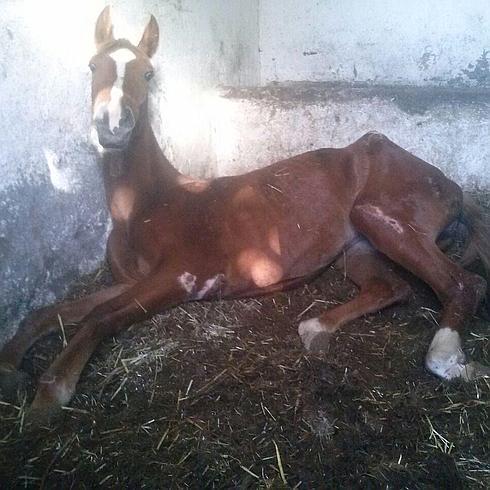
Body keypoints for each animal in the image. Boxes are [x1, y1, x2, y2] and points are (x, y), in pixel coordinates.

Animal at [0, 7, 489, 420]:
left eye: (147, 72)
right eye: (91, 66)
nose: (112, 128)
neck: (145, 207)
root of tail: (450, 184)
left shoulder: (175, 278)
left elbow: (99, 318)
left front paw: (51, 391)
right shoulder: (130, 281)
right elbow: (50, 312)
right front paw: (9, 364)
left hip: (381, 219)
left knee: (464, 284)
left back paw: (447, 358)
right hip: (357, 248)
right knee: (392, 288)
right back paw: (316, 329)